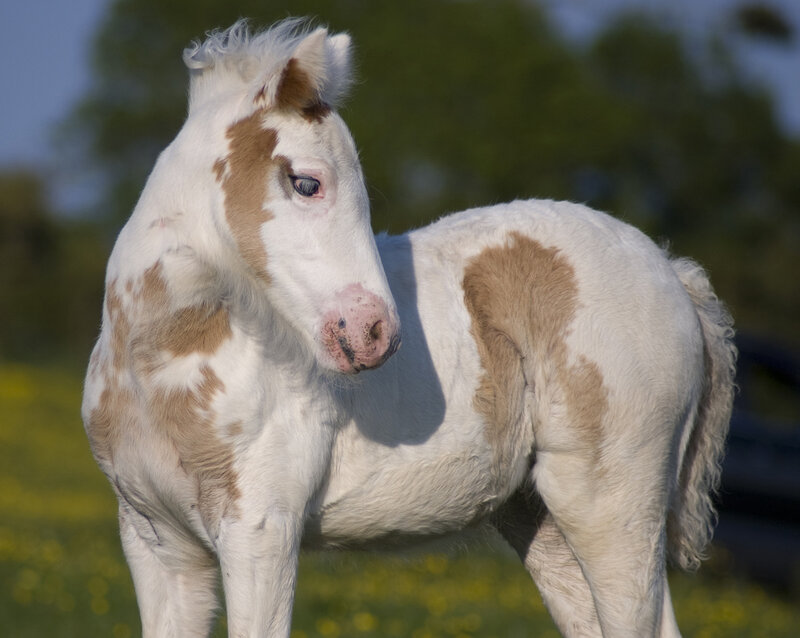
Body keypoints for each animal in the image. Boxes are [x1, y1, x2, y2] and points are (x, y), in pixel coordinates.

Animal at [82, 19, 736, 638]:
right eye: (307, 182)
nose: (376, 332)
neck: (156, 364)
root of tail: (673, 273)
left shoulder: (261, 530)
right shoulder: (156, 543)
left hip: (614, 504)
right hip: (543, 518)